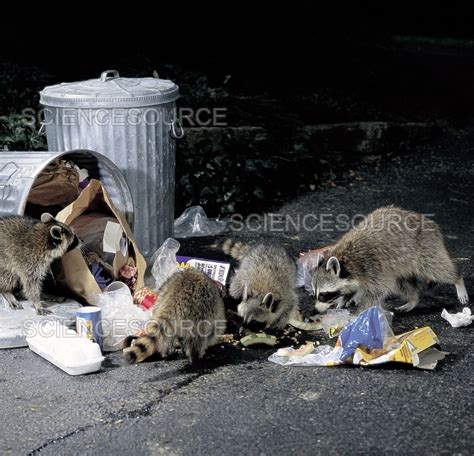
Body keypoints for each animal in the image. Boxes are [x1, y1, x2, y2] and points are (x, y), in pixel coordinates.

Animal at [312, 207, 470, 314]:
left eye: (323, 295)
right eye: (315, 293)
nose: (315, 310)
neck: (346, 259)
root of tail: (429, 222)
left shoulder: (373, 267)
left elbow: (376, 293)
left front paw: (360, 313)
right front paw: (344, 298)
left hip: (425, 249)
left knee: (436, 268)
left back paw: (457, 279)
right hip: (400, 266)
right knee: (402, 283)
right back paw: (413, 299)